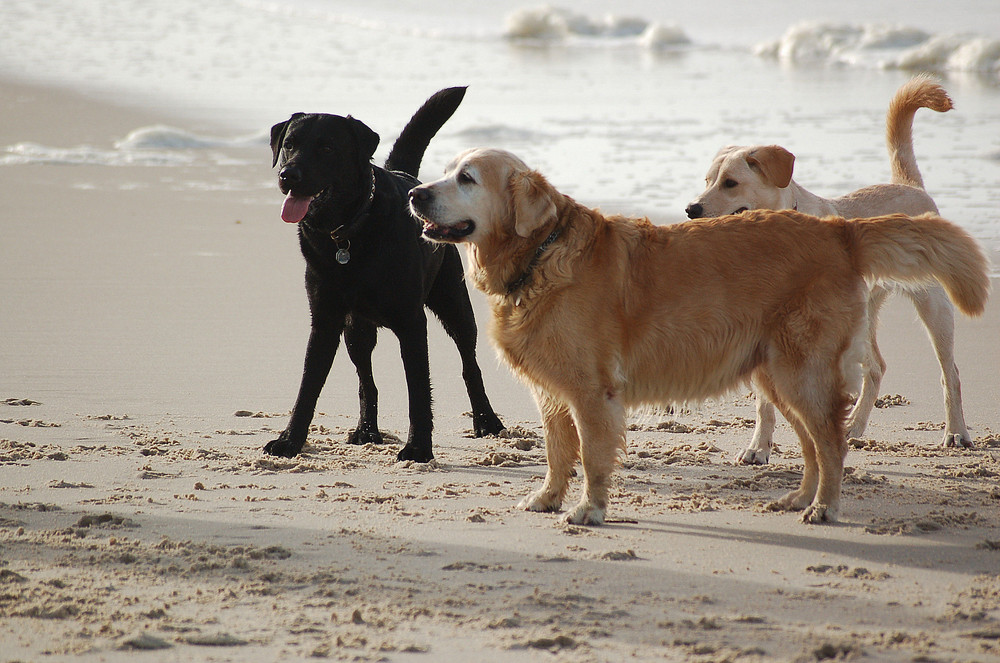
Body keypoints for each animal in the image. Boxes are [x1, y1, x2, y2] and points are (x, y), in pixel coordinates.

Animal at [264, 87, 504, 462]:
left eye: (327, 148)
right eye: (289, 143)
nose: (288, 175)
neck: (348, 233)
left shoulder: (412, 322)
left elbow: (418, 390)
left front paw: (418, 448)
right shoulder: (325, 320)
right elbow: (308, 386)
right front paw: (289, 441)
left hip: (453, 303)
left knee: (470, 362)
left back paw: (486, 421)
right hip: (356, 331)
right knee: (367, 381)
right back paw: (367, 430)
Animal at [410, 148, 988, 528]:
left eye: (465, 178)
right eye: (445, 171)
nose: (415, 192)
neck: (539, 254)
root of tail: (838, 230)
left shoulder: (593, 392)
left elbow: (592, 456)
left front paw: (589, 509)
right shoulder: (553, 392)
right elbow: (557, 451)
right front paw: (548, 497)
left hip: (802, 371)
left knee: (832, 441)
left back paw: (825, 506)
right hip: (777, 375)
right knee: (811, 443)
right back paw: (798, 500)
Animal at [684, 75, 964, 464]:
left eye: (730, 183)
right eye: (708, 180)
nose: (690, 209)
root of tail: (908, 185)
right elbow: (765, 404)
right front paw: (759, 447)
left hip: (932, 303)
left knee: (949, 372)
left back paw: (956, 432)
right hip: (864, 314)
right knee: (876, 367)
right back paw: (854, 428)